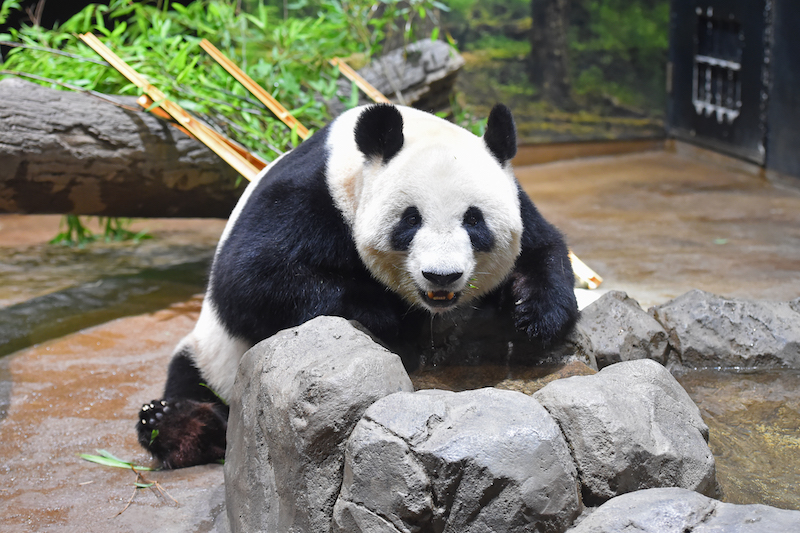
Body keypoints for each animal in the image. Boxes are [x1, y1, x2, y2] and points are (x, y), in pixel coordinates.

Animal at [136, 103, 576, 466]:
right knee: (189, 382)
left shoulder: (517, 201)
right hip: (214, 356)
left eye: (474, 220)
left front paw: (536, 316)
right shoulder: (308, 197)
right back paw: (177, 426)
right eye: (411, 219)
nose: (441, 275)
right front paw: (385, 316)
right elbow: (248, 279)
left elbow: (543, 248)